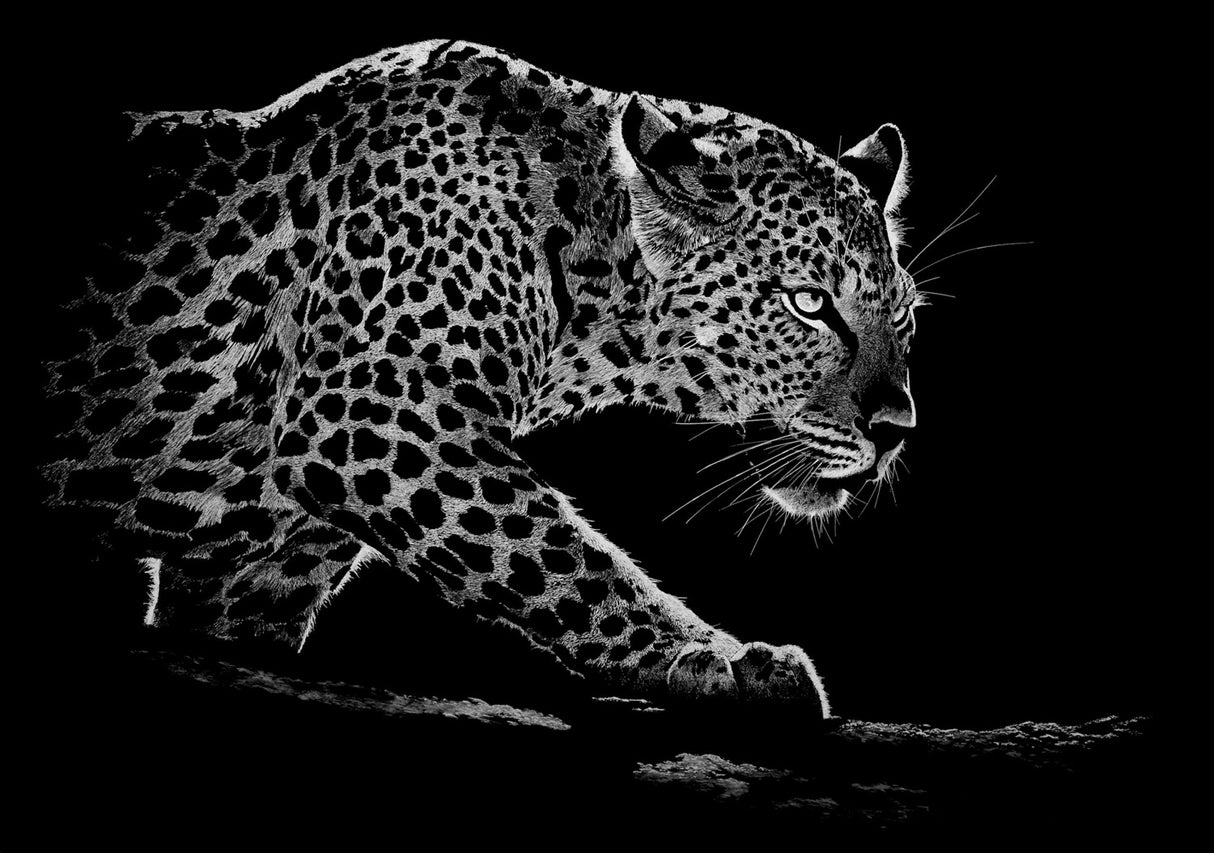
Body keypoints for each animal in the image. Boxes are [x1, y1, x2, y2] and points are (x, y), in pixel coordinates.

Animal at [42, 39, 920, 719]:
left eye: (905, 317)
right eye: (809, 302)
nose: (896, 430)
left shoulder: (250, 573)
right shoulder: (381, 418)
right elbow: (558, 555)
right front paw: (717, 661)